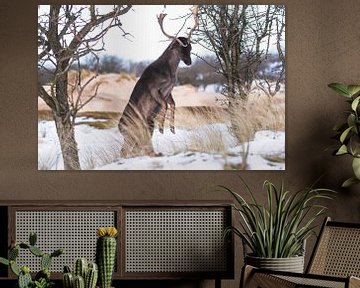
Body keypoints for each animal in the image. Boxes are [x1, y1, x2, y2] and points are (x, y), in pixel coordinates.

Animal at [118, 6, 198, 156]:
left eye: (190, 48)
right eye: (180, 48)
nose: (189, 62)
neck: (170, 74)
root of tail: (120, 128)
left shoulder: (170, 90)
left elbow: (173, 104)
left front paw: (172, 128)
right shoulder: (154, 88)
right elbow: (165, 105)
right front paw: (162, 127)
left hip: (143, 128)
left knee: (133, 147)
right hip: (135, 129)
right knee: (129, 149)